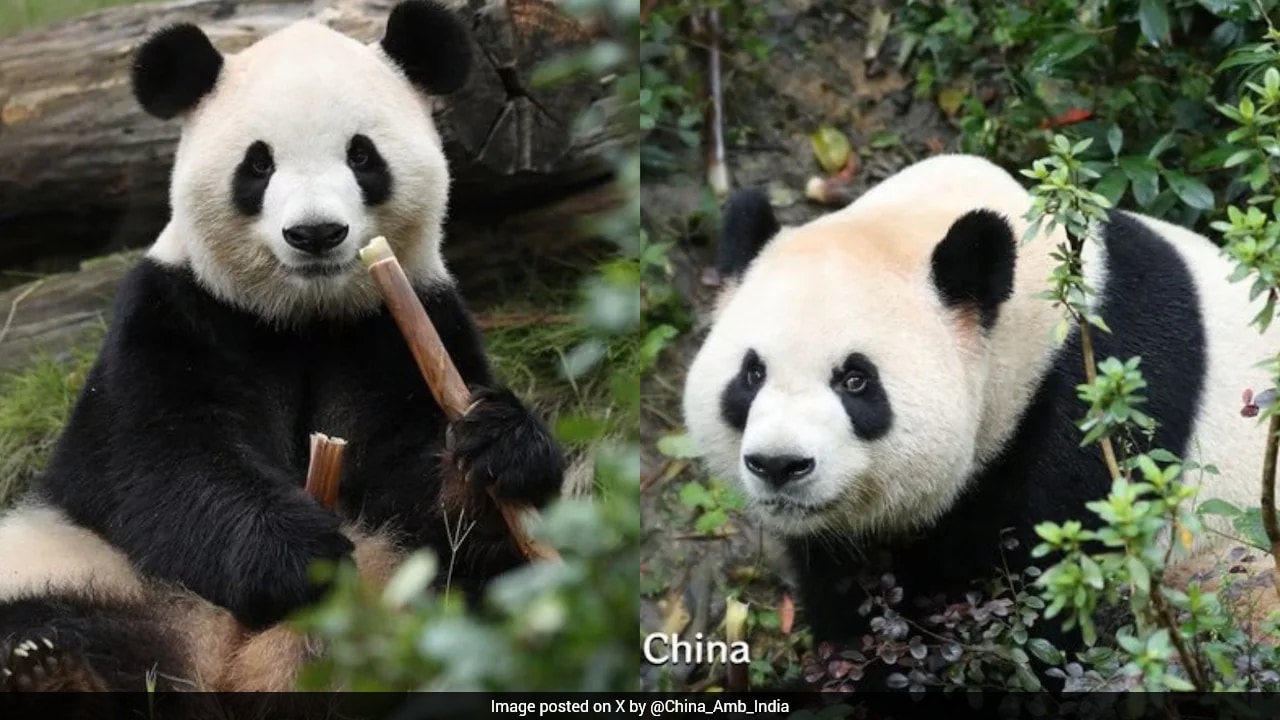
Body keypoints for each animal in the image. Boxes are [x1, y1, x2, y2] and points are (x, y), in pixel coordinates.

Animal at [0, 0, 564, 695]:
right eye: (258, 164)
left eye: (362, 155)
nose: (315, 233)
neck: (304, 318)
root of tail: (222, 667)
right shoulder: (175, 313)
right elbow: (158, 456)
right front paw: (301, 556)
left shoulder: (401, 325)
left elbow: (422, 486)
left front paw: (494, 447)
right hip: (81, 564)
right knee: (48, 611)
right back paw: (49, 667)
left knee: (490, 598)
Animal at [682, 153, 1277, 688]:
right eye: (752, 374)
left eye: (855, 380)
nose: (779, 464)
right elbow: (853, 594)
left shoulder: (1094, 415)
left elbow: (1047, 605)